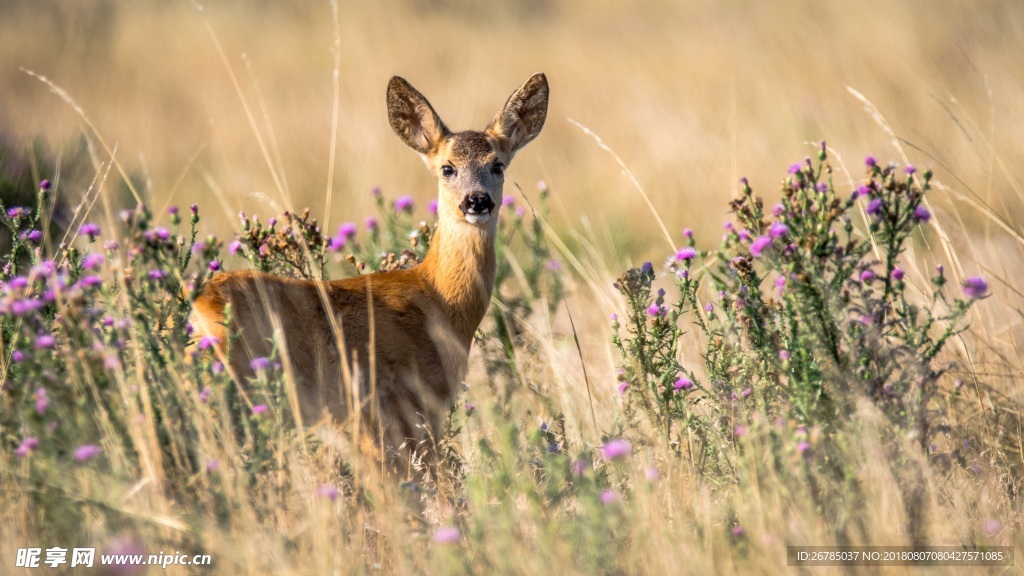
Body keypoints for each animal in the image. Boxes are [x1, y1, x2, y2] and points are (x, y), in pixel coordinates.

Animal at [188, 72, 548, 471]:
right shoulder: (407, 405)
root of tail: (200, 305)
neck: (440, 301)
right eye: (447, 168)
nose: (477, 201)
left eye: (498, 165)